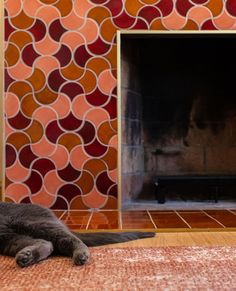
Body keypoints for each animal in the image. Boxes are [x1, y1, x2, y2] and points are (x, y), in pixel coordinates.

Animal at [0, 203, 156, 270]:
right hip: (7, 238)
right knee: (47, 244)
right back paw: (26, 256)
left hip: (32, 223)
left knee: (72, 240)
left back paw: (81, 256)